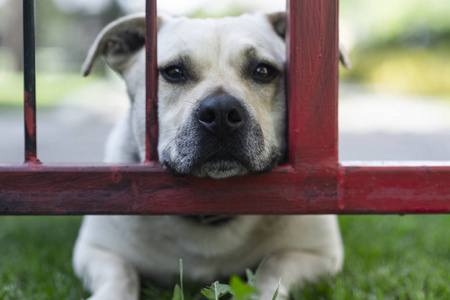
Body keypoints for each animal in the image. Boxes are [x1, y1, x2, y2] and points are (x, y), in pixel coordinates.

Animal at [74, 12, 350, 300]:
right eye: (174, 72)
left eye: (263, 71)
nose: (221, 112)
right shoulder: (97, 250)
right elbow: (121, 275)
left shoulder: (319, 254)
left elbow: (275, 265)